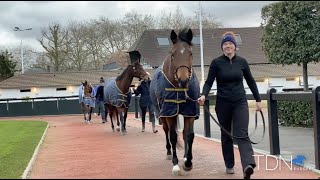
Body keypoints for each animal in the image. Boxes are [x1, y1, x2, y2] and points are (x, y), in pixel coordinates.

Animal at [149, 28, 199, 176]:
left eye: (190, 53)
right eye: (172, 54)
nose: (183, 80)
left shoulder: (190, 111)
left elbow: (189, 135)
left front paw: (188, 162)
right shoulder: (169, 112)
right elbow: (172, 136)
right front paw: (176, 165)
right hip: (162, 113)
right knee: (166, 131)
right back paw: (168, 153)